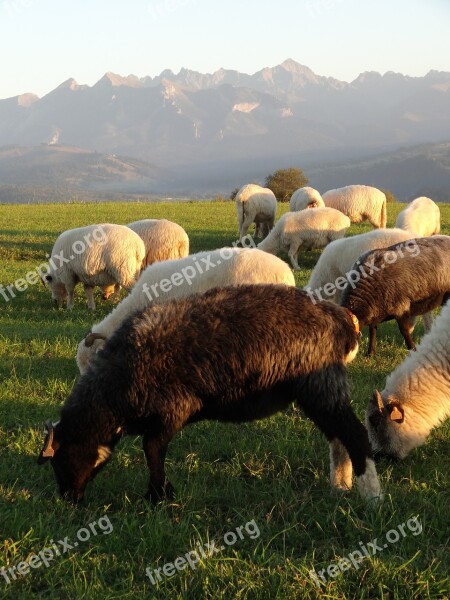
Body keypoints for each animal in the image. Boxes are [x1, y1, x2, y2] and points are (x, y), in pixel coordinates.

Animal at [38, 286, 384, 506]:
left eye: (61, 459)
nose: (70, 500)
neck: (113, 394)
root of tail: (341, 320)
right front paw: (159, 494)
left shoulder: (172, 410)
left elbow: (151, 450)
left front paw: (159, 496)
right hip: (318, 392)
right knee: (338, 438)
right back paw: (340, 486)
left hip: (320, 384)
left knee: (354, 435)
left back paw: (372, 496)